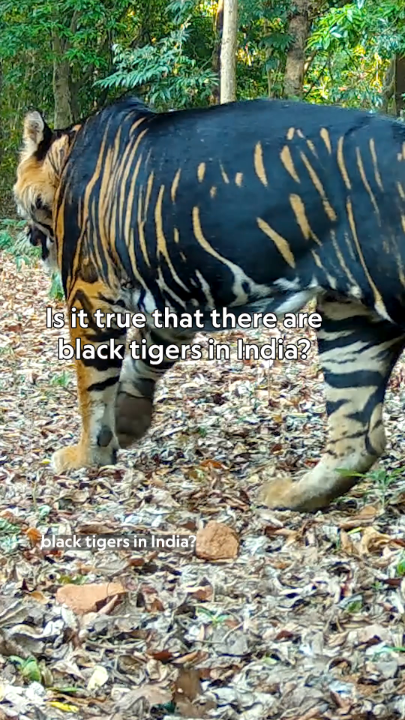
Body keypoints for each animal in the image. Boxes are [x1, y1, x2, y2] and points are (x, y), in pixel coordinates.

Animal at [13, 95, 405, 512]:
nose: (26, 234)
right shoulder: (175, 295)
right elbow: (143, 357)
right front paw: (129, 421)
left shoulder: (89, 291)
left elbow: (93, 388)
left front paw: (88, 455)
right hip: (350, 319)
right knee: (359, 437)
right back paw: (287, 496)